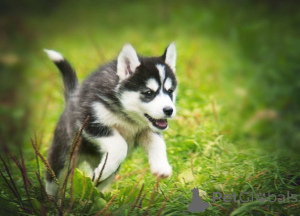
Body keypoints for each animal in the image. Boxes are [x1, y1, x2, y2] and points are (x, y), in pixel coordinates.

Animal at [44, 43, 178, 196]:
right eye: (149, 92)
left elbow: (158, 144)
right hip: (63, 156)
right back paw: (51, 199)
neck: (127, 116)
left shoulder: (147, 130)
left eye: (170, 91)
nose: (169, 110)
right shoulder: (90, 121)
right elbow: (120, 146)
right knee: (53, 181)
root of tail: (71, 97)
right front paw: (103, 171)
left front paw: (161, 166)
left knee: (96, 185)